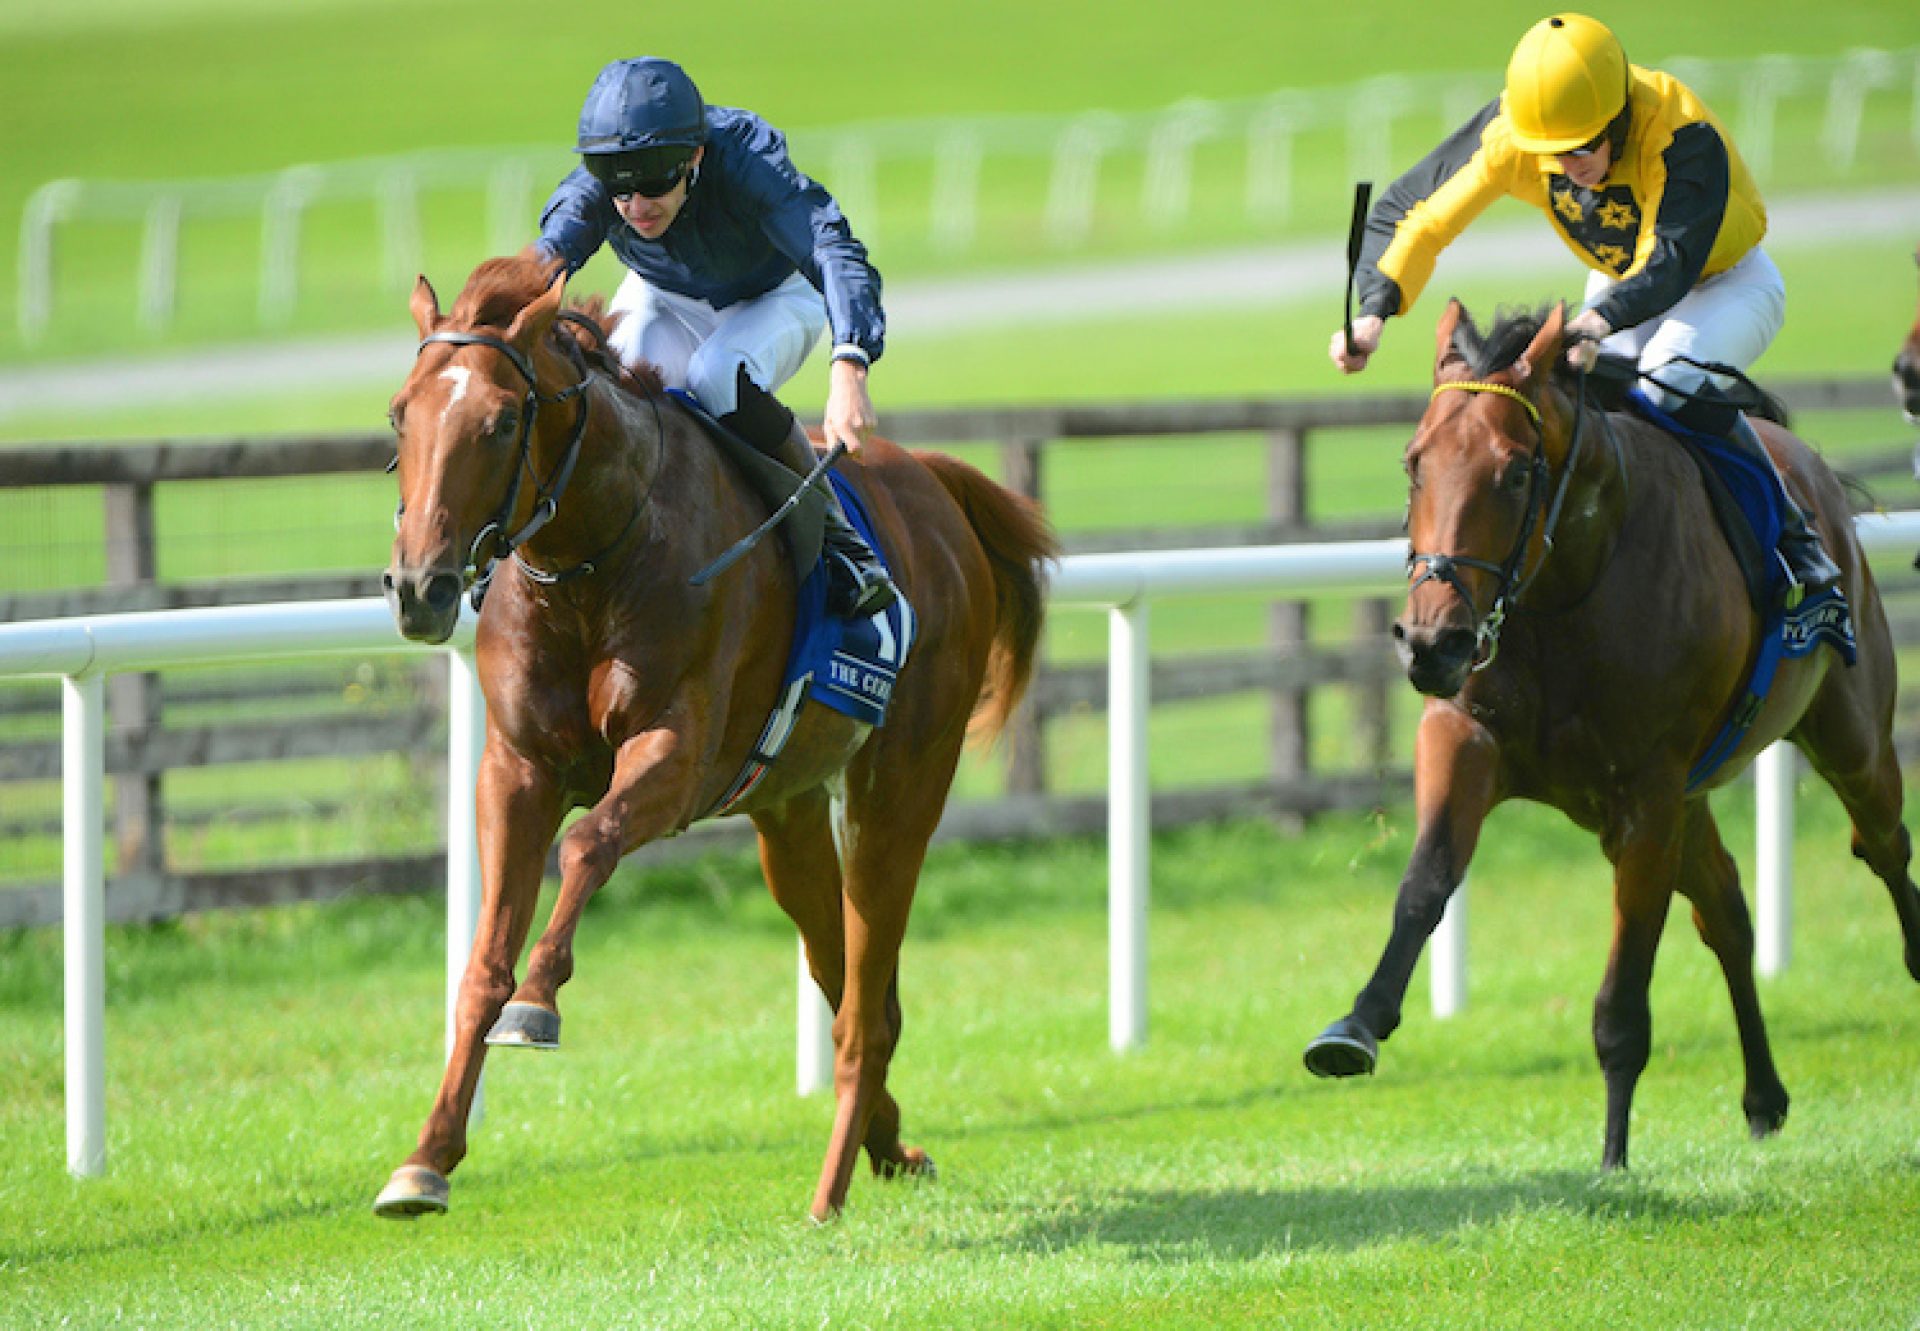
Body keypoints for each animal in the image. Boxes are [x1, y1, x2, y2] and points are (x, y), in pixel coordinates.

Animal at [370, 253, 1067, 1221]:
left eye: (503, 419)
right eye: (402, 412)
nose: (420, 588)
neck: (592, 561)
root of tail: (935, 484)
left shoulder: (677, 757)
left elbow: (589, 843)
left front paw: (541, 1000)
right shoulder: (515, 770)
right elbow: (482, 963)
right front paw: (425, 1159)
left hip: (901, 786)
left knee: (867, 1007)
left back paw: (829, 1190)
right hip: (789, 810)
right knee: (846, 979)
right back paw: (892, 1145)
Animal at [1305, 297, 1920, 1160]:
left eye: (1516, 469)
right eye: (1414, 462)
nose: (1433, 642)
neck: (1567, 588)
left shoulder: (1646, 794)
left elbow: (1623, 998)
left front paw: (1614, 1158)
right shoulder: (1467, 734)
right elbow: (1426, 882)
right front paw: (1357, 1024)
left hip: (1849, 738)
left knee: (1884, 843)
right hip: (1690, 797)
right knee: (1727, 913)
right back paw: (1763, 1095)